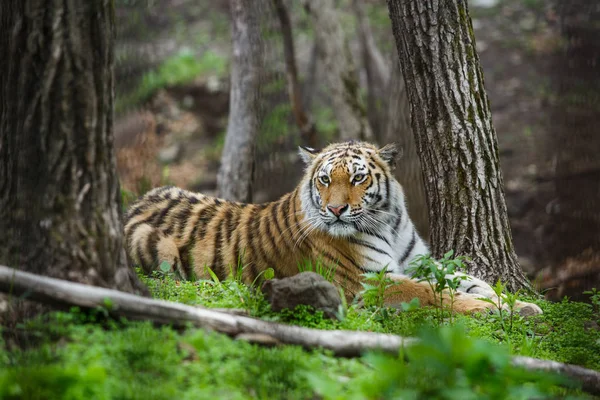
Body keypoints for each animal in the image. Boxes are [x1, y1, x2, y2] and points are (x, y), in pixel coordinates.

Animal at [124, 141, 540, 316]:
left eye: (357, 177)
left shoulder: (418, 260)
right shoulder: (366, 282)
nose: (336, 209)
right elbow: (432, 293)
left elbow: (466, 279)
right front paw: (495, 310)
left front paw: (517, 302)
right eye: (324, 179)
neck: (388, 221)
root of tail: (134, 204)